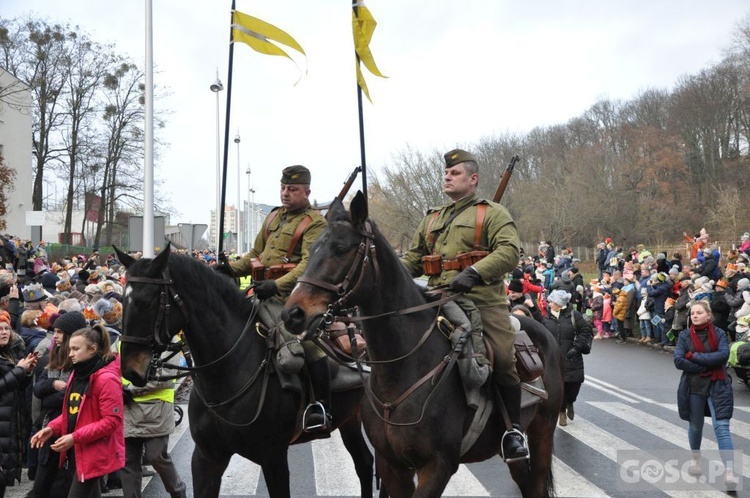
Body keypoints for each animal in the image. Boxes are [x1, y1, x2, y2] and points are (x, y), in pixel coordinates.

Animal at [115, 249, 376, 498]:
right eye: (124, 303)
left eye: (146, 303)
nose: (130, 370)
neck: (225, 376)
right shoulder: (207, 458)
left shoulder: (274, 459)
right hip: (349, 420)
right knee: (364, 464)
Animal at [284, 194, 568, 498]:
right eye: (311, 249)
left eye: (340, 249)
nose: (293, 314)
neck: (403, 369)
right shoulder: (392, 466)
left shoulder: (437, 466)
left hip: (541, 431)